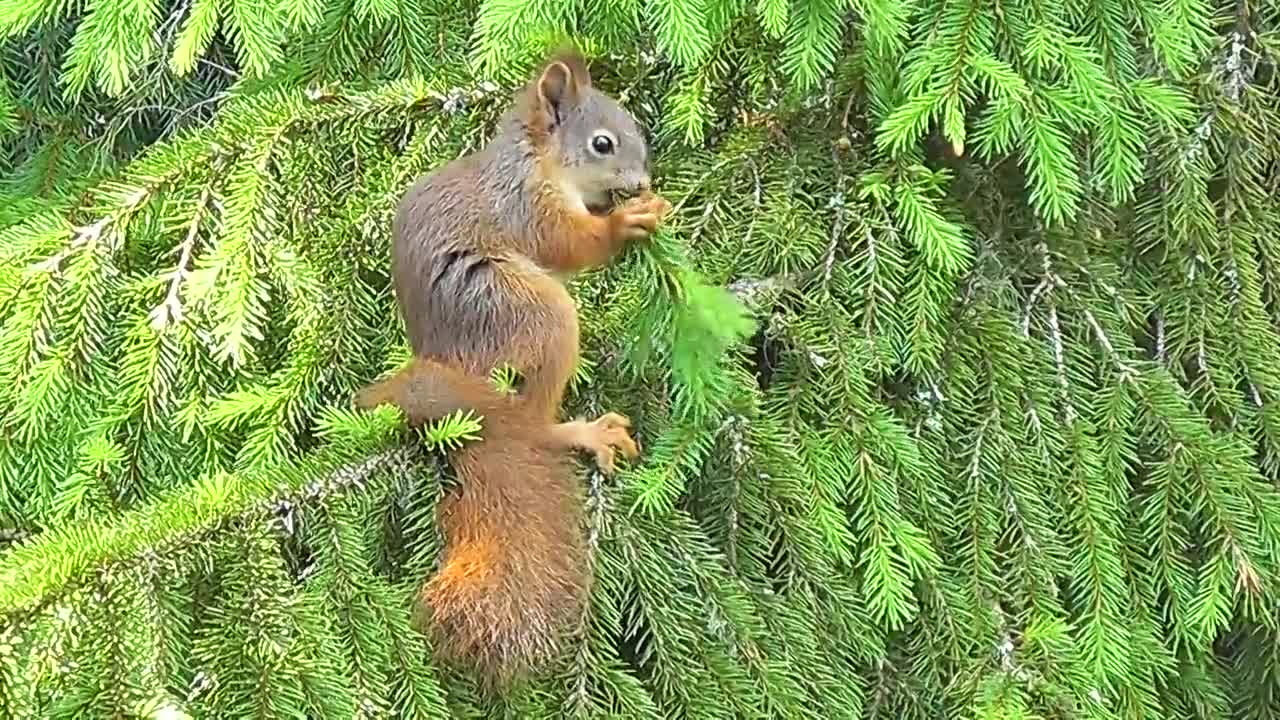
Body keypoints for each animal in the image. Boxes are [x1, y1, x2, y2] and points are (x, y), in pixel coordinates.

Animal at [350, 47, 670, 681]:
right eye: (602, 143)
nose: (642, 183)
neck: (537, 160)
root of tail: (452, 373)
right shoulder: (527, 206)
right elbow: (567, 244)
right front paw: (624, 222)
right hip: (529, 312)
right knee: (538, 417)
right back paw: (578, 431)